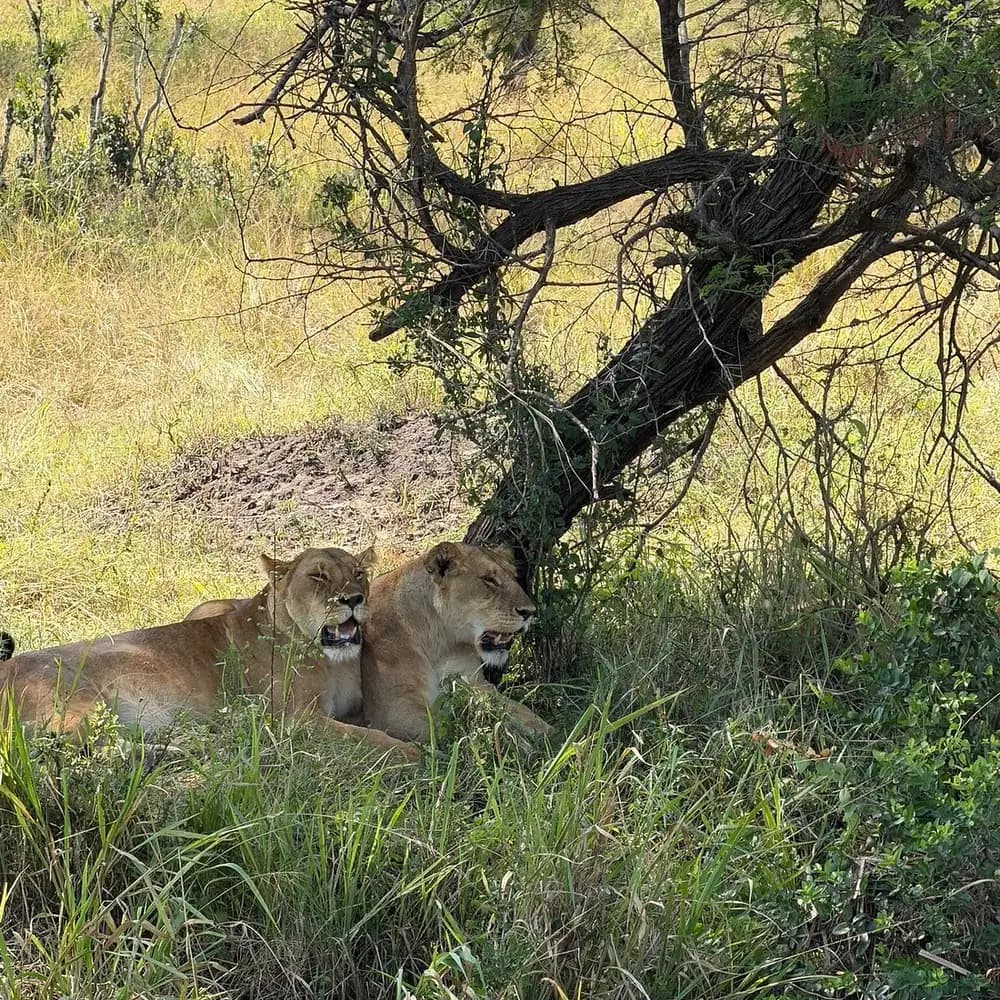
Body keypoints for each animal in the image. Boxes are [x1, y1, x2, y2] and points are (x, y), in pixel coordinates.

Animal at [0, 546, 416, 759]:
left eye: (359, 573)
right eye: (317, 576)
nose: (354, 599)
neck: (332, 661)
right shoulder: (295, 721)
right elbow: (366, 738)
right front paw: (414, 753)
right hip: (82, 704)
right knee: (88, 750)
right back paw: (189, 743)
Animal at [360, 541, 553, 742]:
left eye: (515, 577)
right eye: (489, 579)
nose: (530, 612)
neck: (440, 643)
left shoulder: (476, 683)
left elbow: (517, 710)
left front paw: (550, 735)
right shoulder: (393, 710)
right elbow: (450, 732)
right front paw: (508, 740)